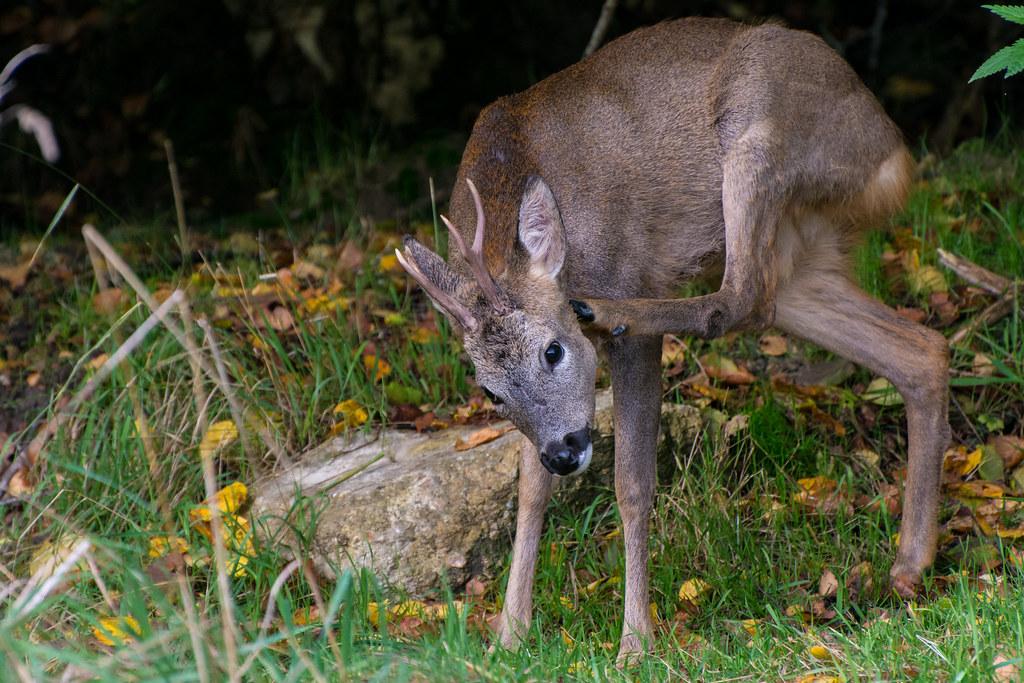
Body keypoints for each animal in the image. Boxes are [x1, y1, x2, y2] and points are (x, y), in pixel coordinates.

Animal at [393, 17, 950, 663]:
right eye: (490, 392)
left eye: (552, 350)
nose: (564, 452)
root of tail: (893, 152)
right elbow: (529, 491)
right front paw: (508, 638)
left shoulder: (627, 297)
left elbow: (632, 484)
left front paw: (635, 644)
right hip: (804, 260)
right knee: (917, 349)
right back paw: (909, 567)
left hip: (756, 130)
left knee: (742, 296)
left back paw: (606, 310)